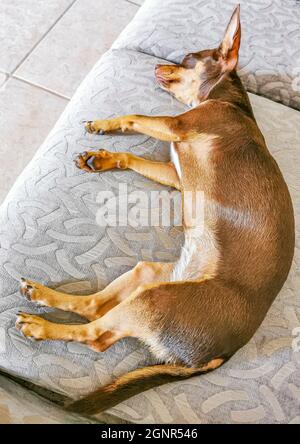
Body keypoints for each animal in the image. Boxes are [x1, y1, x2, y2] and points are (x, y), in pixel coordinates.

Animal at [15, 5, 294, 414]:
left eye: (188, 59)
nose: (159, 65)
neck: (230, 101)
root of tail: (220, 357)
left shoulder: (178, 126)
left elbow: (134, 115)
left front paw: (105, 123)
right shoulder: (175, 171)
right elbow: (136, 155)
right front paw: (103, 158)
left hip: (153, 297)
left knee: (96, 334)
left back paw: (41, 325)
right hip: (147, 274)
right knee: (95, 306)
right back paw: (43, 295)